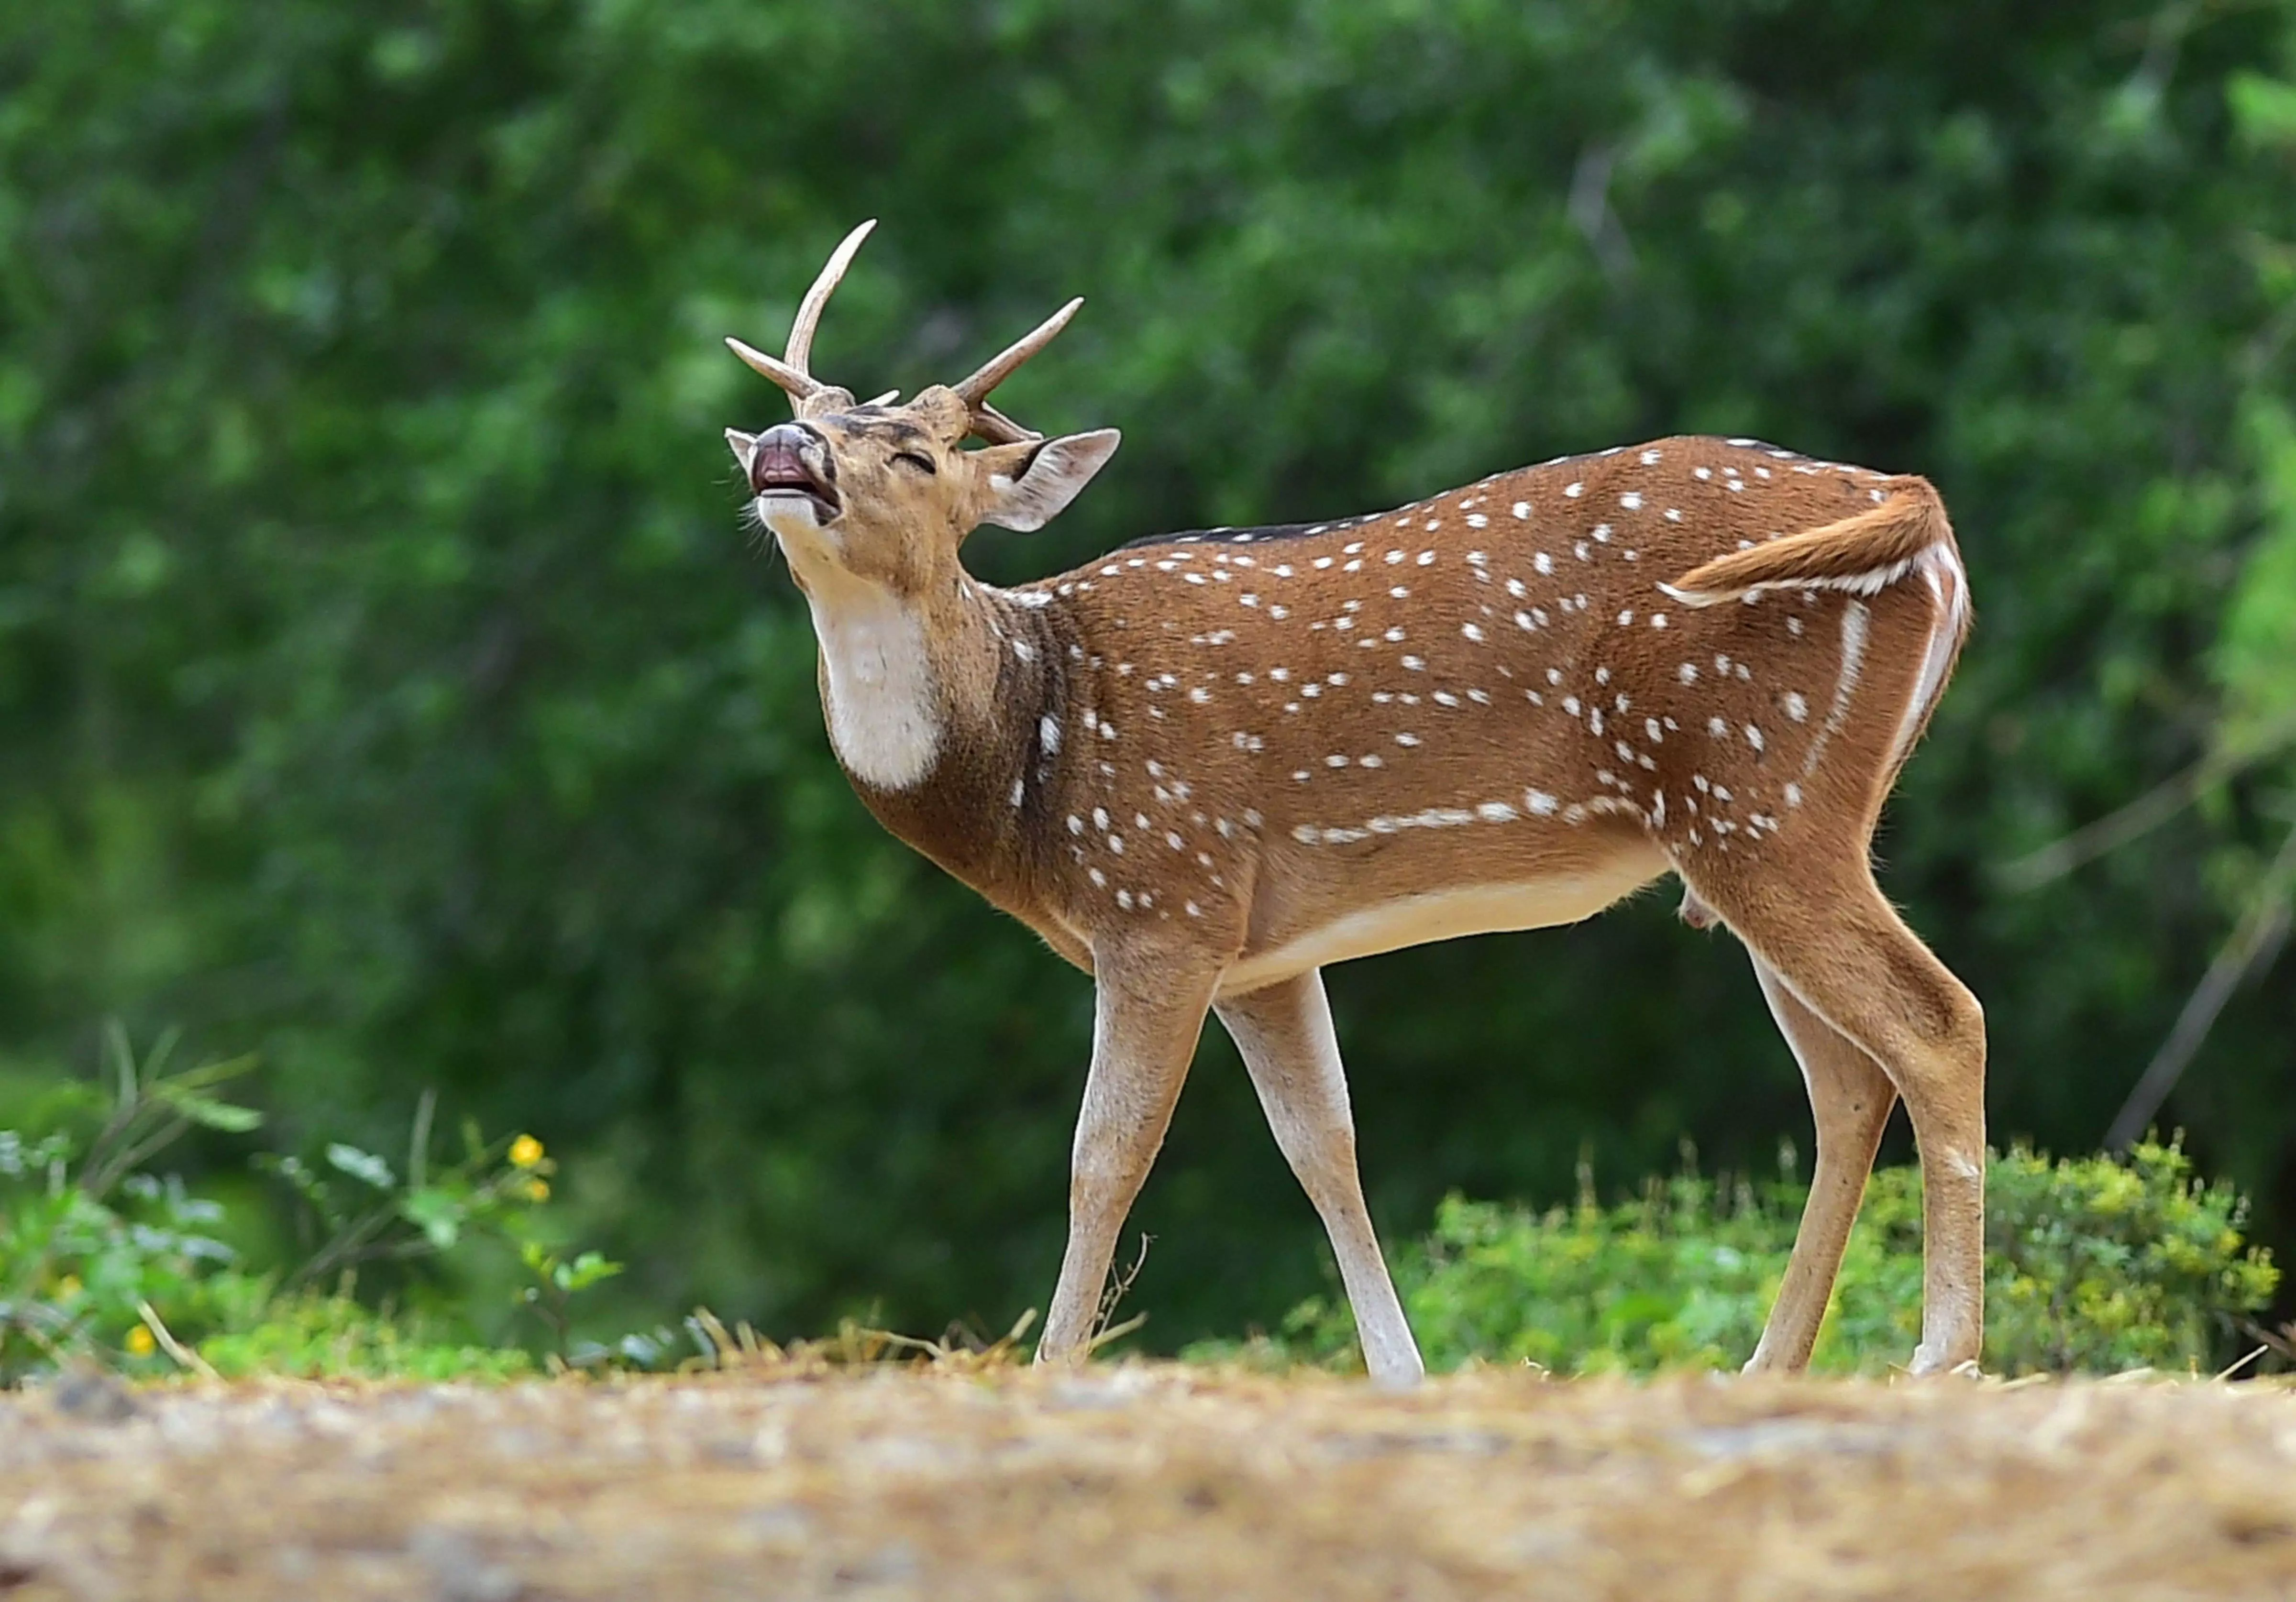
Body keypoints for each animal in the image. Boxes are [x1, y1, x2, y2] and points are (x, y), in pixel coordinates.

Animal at [722, 222, 1984, 1387]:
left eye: (920, 455)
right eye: (815, 416)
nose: (784, 443)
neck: (1037, 748)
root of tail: (1916, 505)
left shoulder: (1161, 895)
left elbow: (1105, 1154)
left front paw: (1056, 1365)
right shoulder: (1262, 950)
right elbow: (1324, 1144)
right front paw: (1400, 1369)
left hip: (1756, 788)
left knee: (1935, 1022)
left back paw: (1943, 1355)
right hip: (1769, 819)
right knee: (1846, 1082)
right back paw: (1772, 1364)